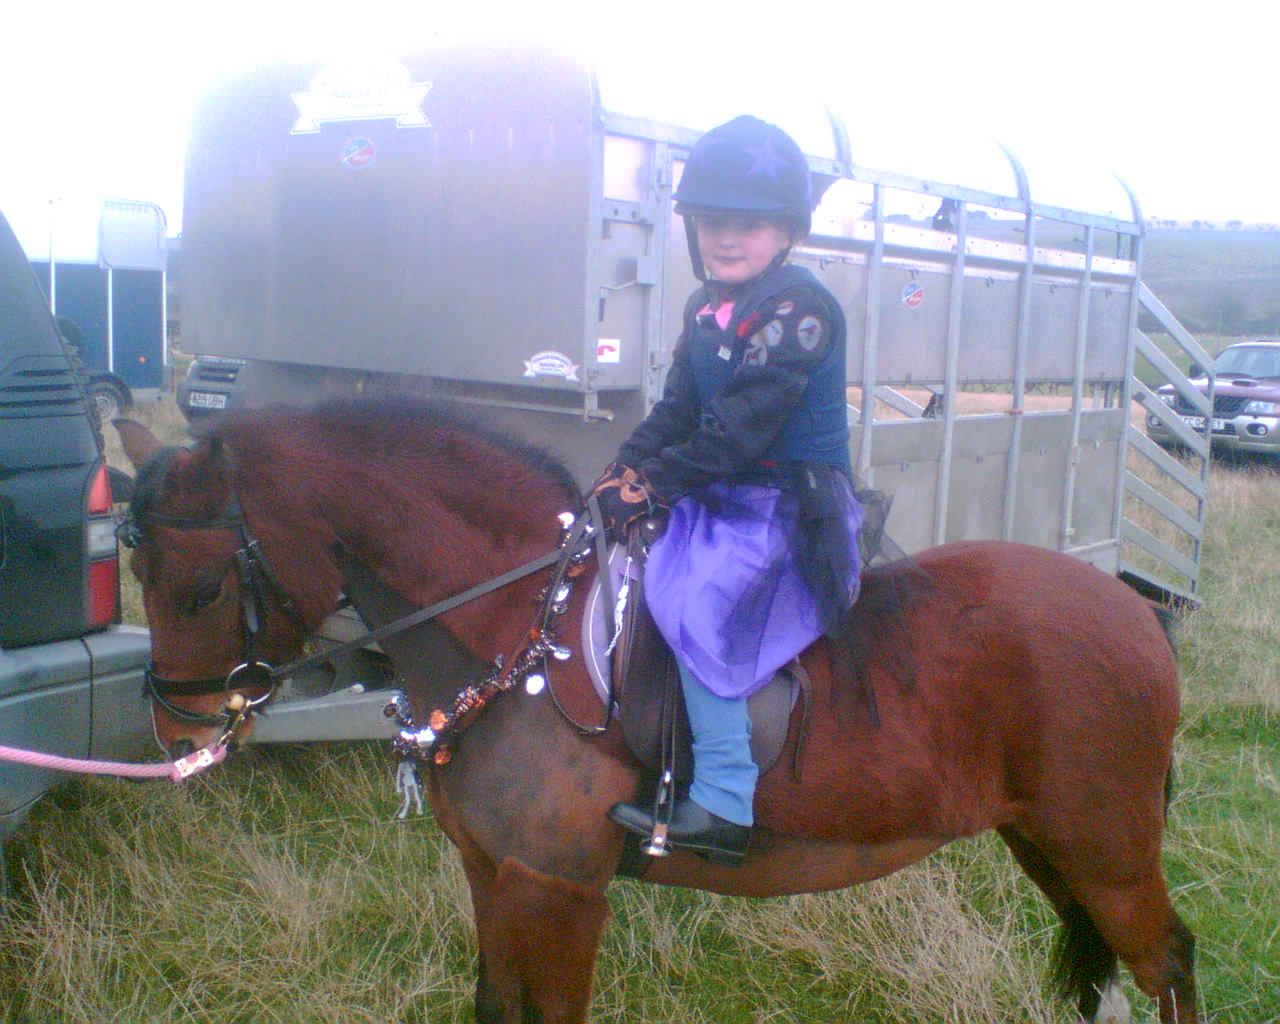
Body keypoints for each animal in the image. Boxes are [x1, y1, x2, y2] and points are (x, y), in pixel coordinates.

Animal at [115, 396, 1198, 1024]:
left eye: (201, 589)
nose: (176, 732)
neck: (520, 626)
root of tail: (1136, 615)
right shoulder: (493, 874)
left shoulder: (558, 891)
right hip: (1049, 843)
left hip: (1102, 847)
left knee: (1170, 961)